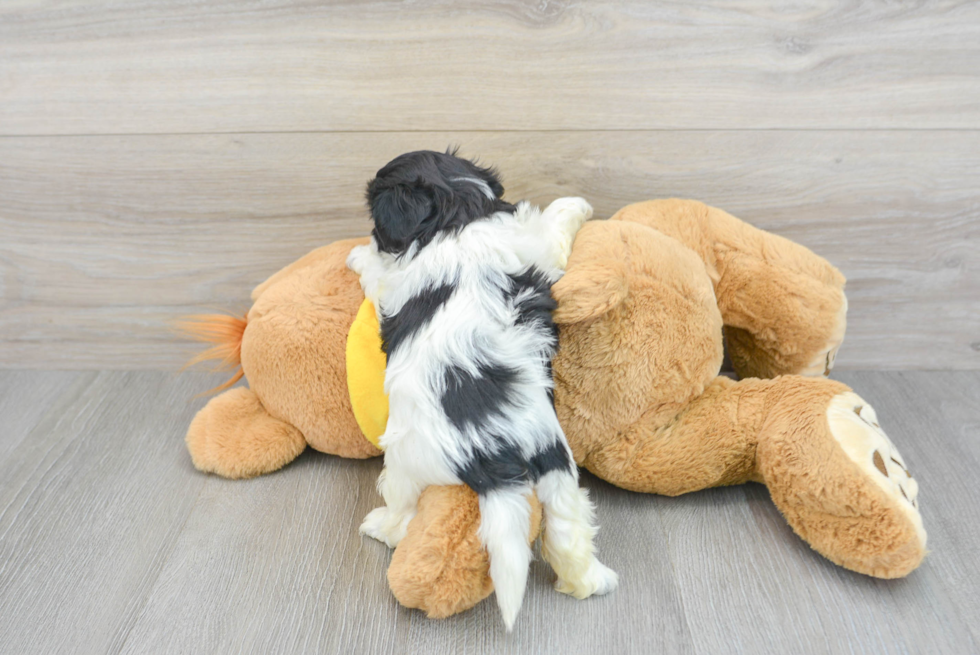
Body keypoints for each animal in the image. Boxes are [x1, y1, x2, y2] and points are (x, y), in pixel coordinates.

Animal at [348, 149, 616, 632]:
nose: (371, 237)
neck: (456, 212)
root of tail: (495, 452)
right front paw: (577, 205)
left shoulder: (393, 280)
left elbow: (376, 272)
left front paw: (359, 254)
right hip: (558, 471)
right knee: (567, 531)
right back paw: (589, 581)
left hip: (403, 463)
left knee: (401, 510)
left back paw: (380, 527)